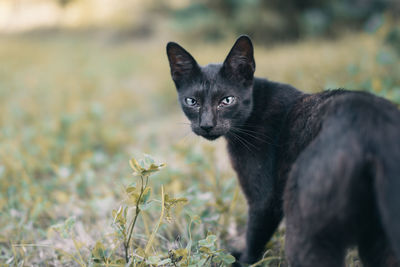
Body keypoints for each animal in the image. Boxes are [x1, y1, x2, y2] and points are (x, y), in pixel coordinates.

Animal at [165, 36, 400, 267]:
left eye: (227, 100)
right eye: (191, 101)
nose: (206, 125)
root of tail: (371, 124)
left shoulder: (263, 200)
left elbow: (254, 237)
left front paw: (242, 260)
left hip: (303, 224)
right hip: (377, 239)